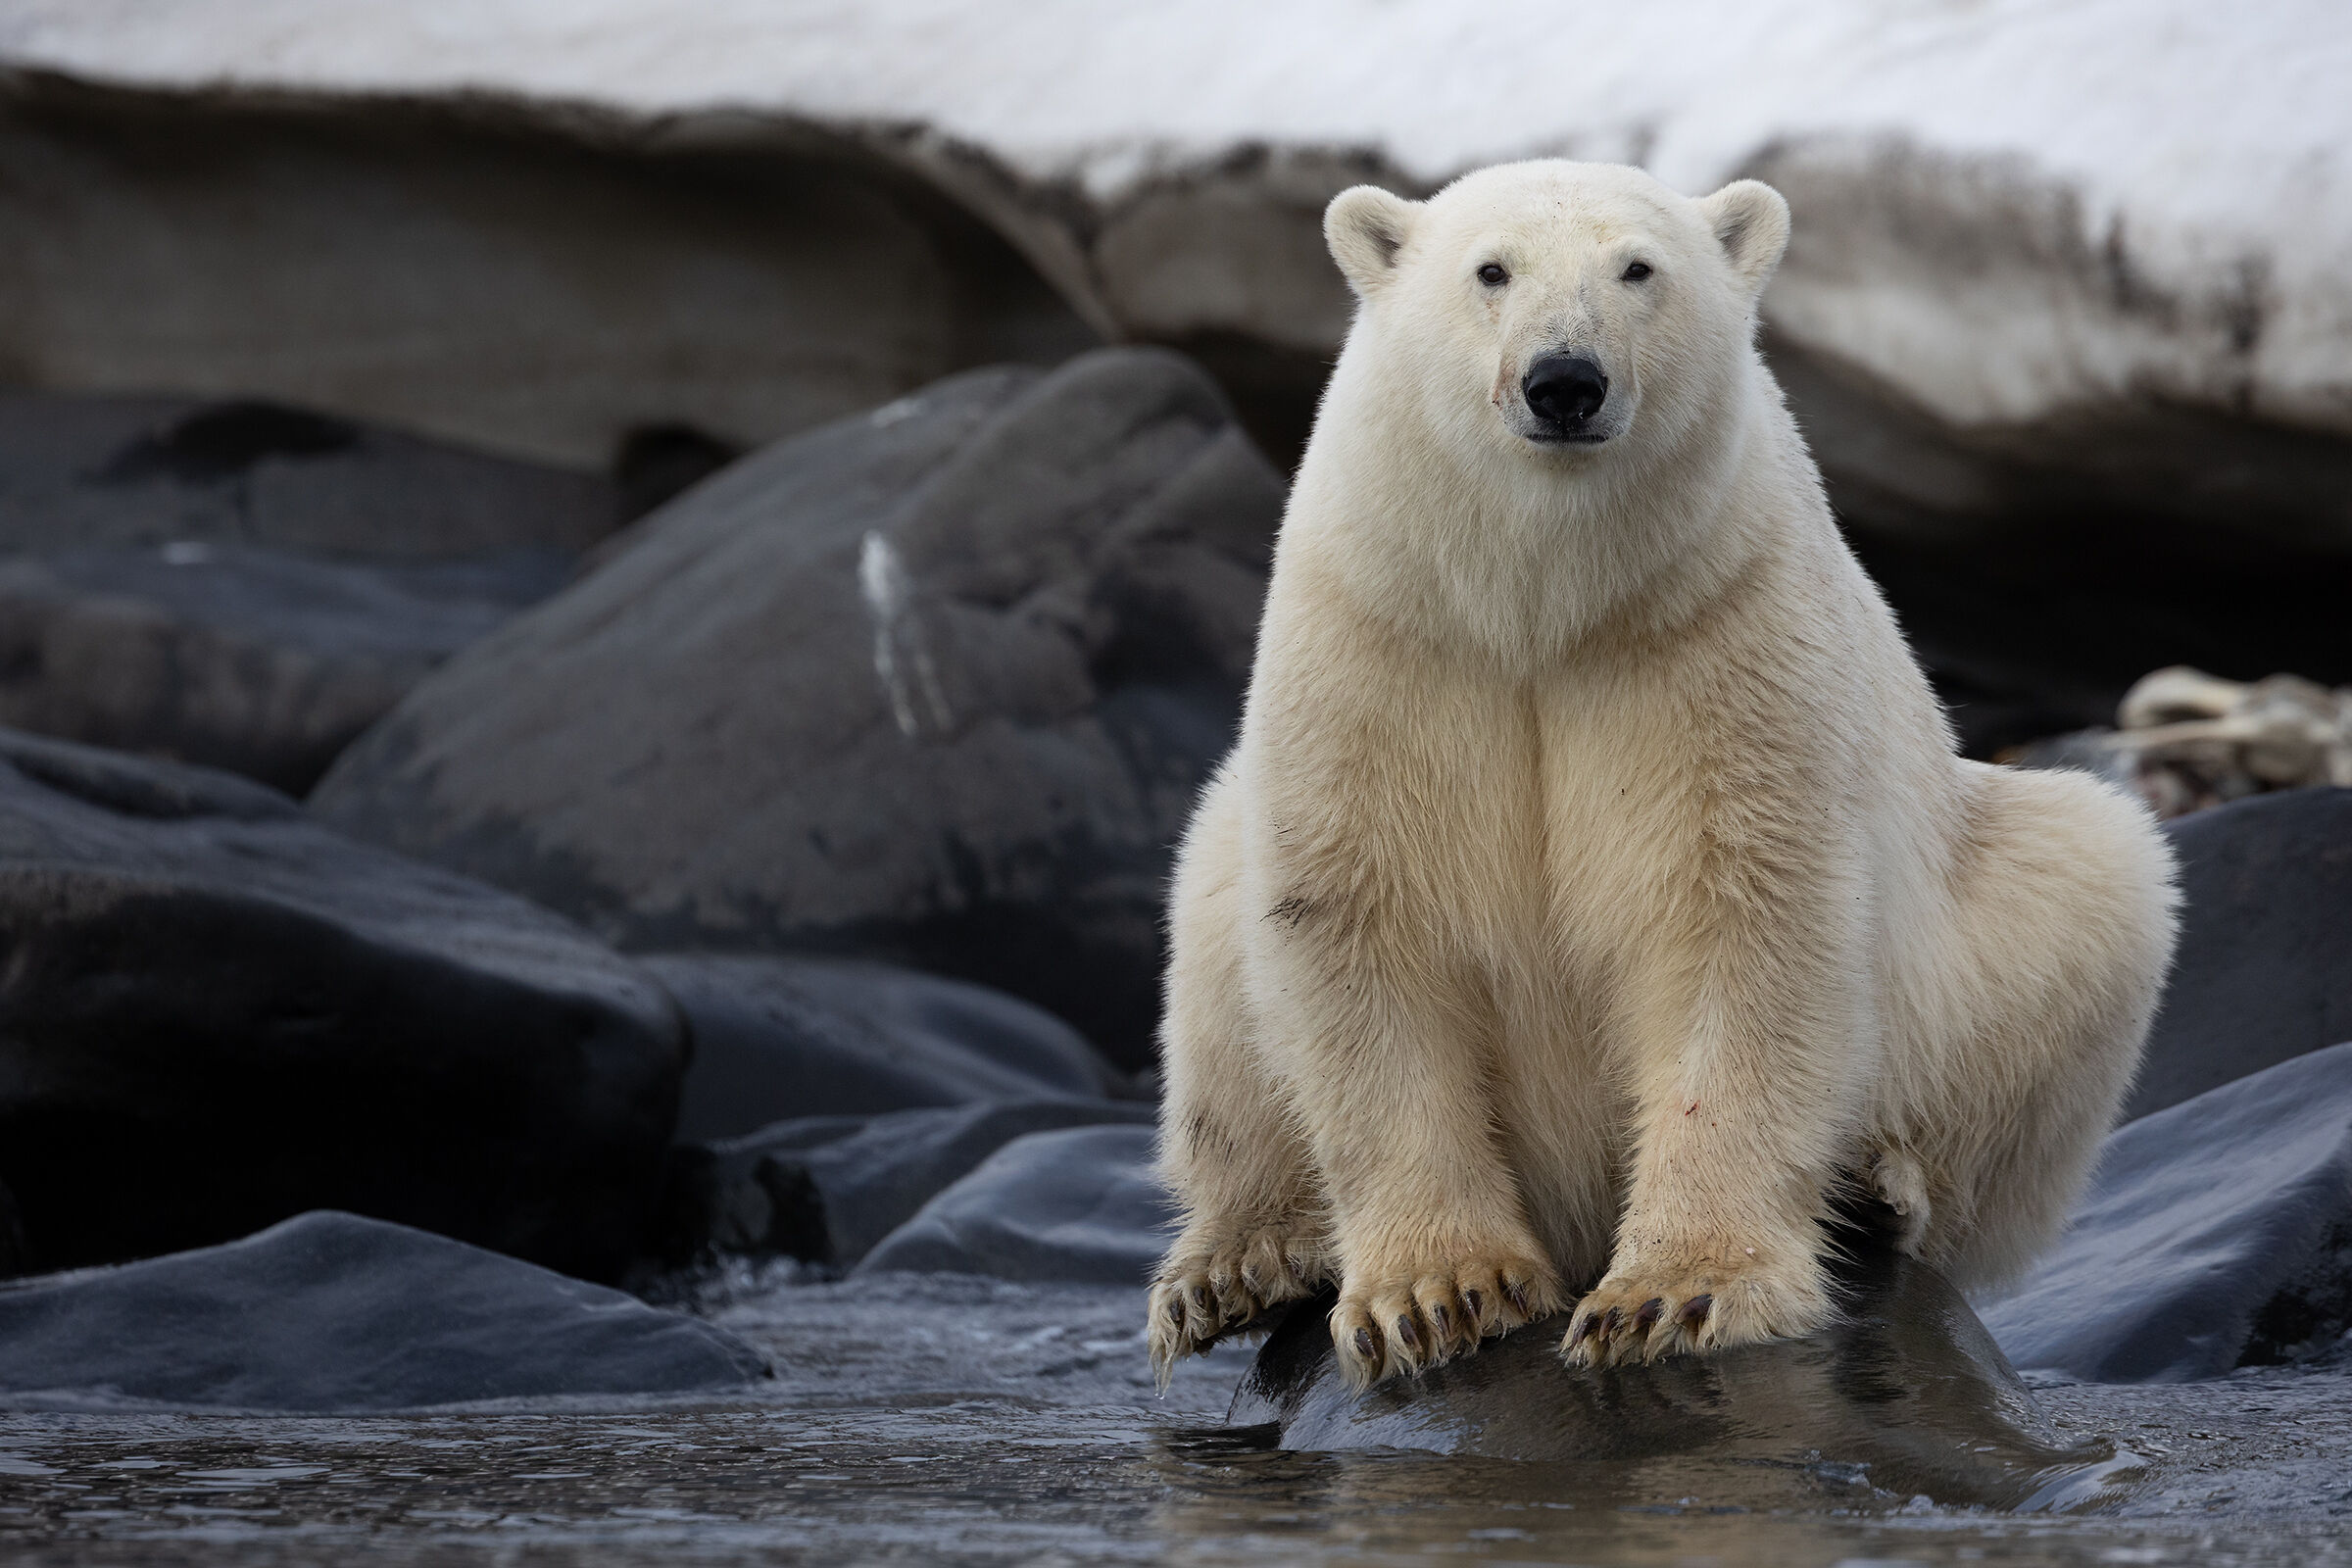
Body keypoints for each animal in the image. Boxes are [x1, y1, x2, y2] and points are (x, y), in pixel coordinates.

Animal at [1146, 159, 2179, 1390]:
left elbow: (1736, 924)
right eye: (1491, 270)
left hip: (1977, 928)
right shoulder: (1391, 635)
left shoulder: (1714, 636)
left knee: (2089, 873)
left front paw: (1673, 1294)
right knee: (1211, 912)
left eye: (1638, 269)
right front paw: (1440, 1294)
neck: (1546, 602)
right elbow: (1356, 916)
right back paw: (1239, 1259)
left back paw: (1879, 1191)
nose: (1564, 381)